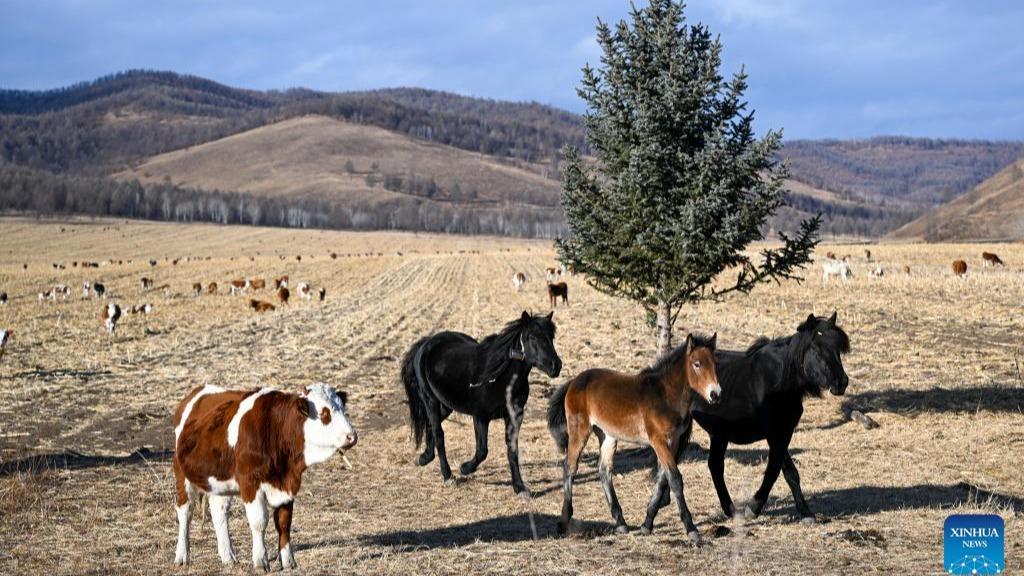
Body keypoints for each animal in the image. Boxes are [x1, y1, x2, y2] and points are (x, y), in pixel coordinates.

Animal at [172, 383, 356, 565]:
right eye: (325, 413)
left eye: (343, 409)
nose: (352, 436)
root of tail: (197, 392)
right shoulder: (250, 483)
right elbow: (259, 522)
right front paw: (260, 560)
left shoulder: (287, 486)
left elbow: (284, 523)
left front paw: (288, 561)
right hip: (181, 474)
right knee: (185, 512)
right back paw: (182, 556)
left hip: (221, 479)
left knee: (219, 511)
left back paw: (228, 557)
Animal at [397, 309, 561, 494]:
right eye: (532, 337)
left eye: (551, 337)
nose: (556, 366)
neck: (501, 377)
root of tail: (426, 343)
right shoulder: (480, 417)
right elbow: (482, 450)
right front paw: (465, 468)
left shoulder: (513, 417)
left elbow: (512, 451)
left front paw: (519, 487)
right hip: (430, 400)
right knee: (439, 433)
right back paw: (447, 476)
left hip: (446, 405)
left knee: (431, 426)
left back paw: (424, 458)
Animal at [548, 332, 724, 537]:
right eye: (697, 364)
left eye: (715, 364)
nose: (715, 394)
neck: (665, 395)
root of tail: (574, 381)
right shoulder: (658, 441)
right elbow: (675, 479)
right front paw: (692, 529)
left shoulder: (673, 441)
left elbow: (663, 479)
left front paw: (647, 524)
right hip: (579, 429)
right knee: (569, 467)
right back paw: (563, 522)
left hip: (607, 435)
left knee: (604, 470)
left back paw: (621, 523)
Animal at [655, 311, 847, 522]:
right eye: (817, 349)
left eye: (837, 349)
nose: (842, 382)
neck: (779, 381)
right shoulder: (775, 435)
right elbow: (773, 470)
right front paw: (753, 507)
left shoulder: (783, 432)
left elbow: (790, 473)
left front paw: (806, 512)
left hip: (717, 434)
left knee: (709, 466)